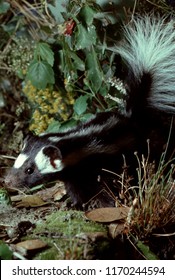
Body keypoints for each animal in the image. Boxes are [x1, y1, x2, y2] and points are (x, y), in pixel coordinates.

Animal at [4, 16, 175, 207]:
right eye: (17, 162)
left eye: (29, 170)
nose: (7, 181)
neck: (73, 145)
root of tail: (130, 115)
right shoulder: (74, 175)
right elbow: (76, 190)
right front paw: (75, 204)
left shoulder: (96, 167)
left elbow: (104, 189)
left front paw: (107, 204)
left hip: (137, 150)